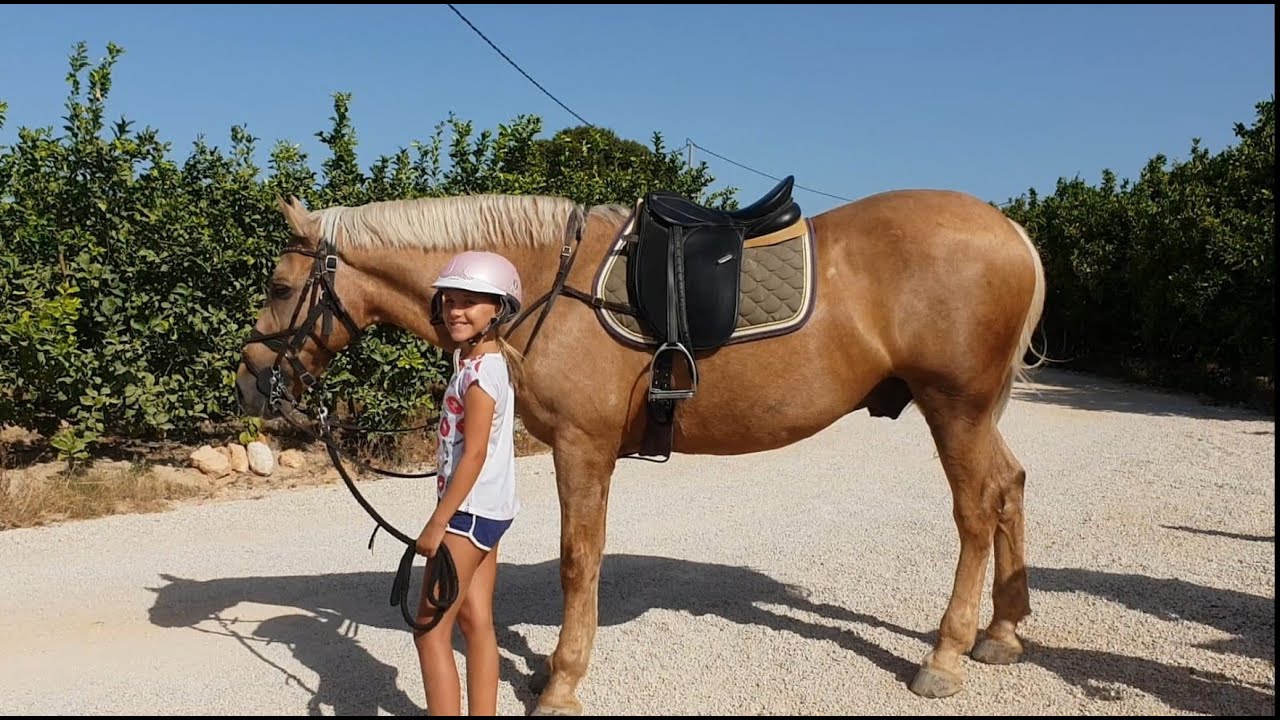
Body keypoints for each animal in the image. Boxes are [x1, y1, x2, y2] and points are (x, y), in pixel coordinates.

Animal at [235, 180, 1047, 715]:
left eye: (276, 284)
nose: (248, 383)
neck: (543, 282)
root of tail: (1012, 234)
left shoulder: (582, 447)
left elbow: (577, 560)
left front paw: (560, 682)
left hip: (954, 407)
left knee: (976, 508)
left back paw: (945, 654)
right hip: (974, 413)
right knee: (1009, 486)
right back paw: (1002, 632)